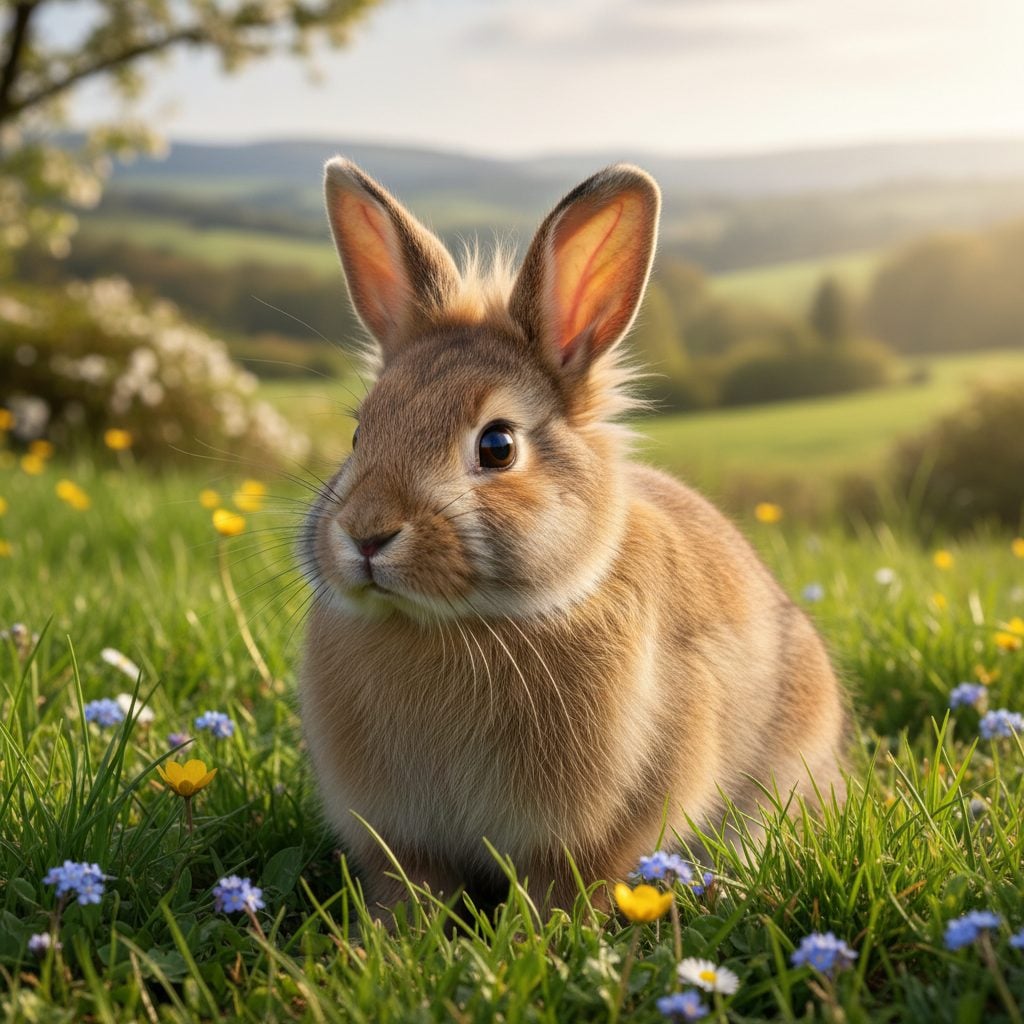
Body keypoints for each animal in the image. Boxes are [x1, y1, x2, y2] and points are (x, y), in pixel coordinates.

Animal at [298, 157, 848, 915]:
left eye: (497, 446)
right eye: (359, 433)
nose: (367, 536)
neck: (459, 625)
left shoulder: (596, 829)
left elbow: (562, 887)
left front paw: (542, 931)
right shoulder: (401, 841)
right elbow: (413, 889)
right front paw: (390, 935)